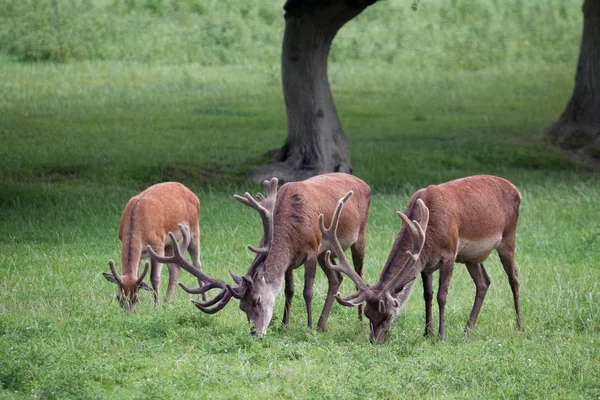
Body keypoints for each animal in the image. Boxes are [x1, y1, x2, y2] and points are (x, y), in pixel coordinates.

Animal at [103, 182, 204, 312]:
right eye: (118, 297)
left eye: (136, 298)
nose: (128, 313)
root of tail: (191, 192)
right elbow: (137, 275)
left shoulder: (158, 245)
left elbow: (154, 278)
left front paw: (156, 307)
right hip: (170, 244)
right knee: (175, 268)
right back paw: (167, 302)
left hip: (194, 229)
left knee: (197, 264)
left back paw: (204, 299)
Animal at [148, 173, 370, 334]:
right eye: (242, 307)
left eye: (257, 300)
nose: (255, 332)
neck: (292, 231)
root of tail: (364, 183)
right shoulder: (292, 261)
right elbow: (289, 291)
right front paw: (285, 325)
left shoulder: (313, 250)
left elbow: (307, 291)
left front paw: (307, 327)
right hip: (329, 253)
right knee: (336, 278)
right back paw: (322, 325)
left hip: (359, 236)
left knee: (358, 274)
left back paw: (359, 321)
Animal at [322, 175, 524, 344]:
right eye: (367, 314)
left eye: (387, 314)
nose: (374, 341)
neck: (429, 236)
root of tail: (516, 190)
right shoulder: (426, 264)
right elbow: (427, 295)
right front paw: (427, 332)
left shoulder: (449, 254)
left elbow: (442, 296)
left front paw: (441, 335)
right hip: (471, 257)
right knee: (483, 282)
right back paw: (468, 330)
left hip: (508, 238)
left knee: (513, 277)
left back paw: (520, 325)